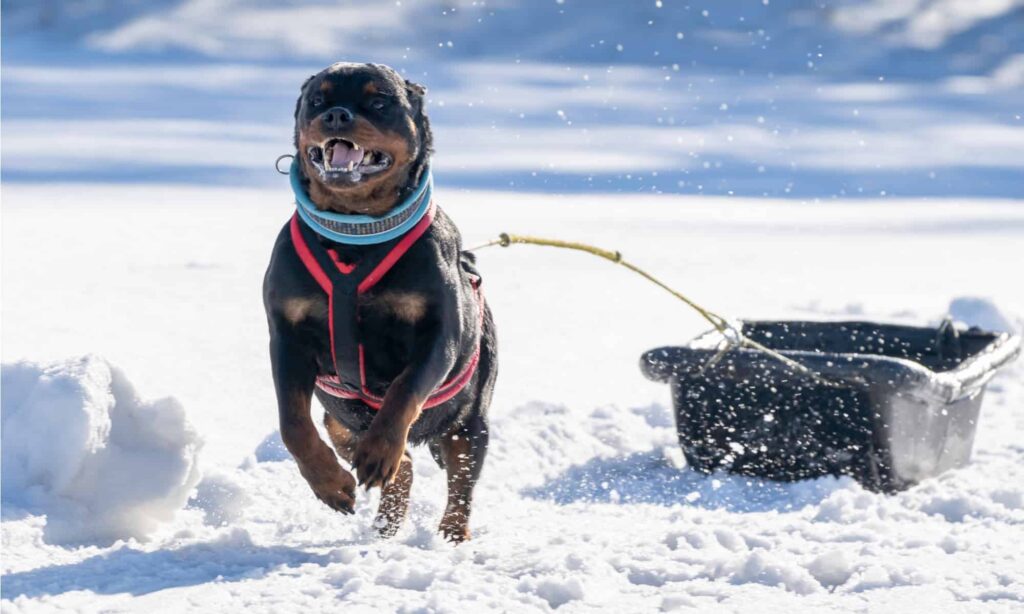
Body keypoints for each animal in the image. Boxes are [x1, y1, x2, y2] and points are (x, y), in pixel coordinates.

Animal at [262, 63, 497, 540]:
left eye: (378, 101)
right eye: (318, 99)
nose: (336, 115)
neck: (355, 236)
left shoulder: (439, 335)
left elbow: (404, 391)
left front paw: (378, 452)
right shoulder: (287, 336)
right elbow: (292, 422)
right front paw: (331, 484)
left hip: (471, 420)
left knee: (460, 476)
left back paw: (452, 535)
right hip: (340, 419)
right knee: (399, 462)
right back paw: (385, 522)